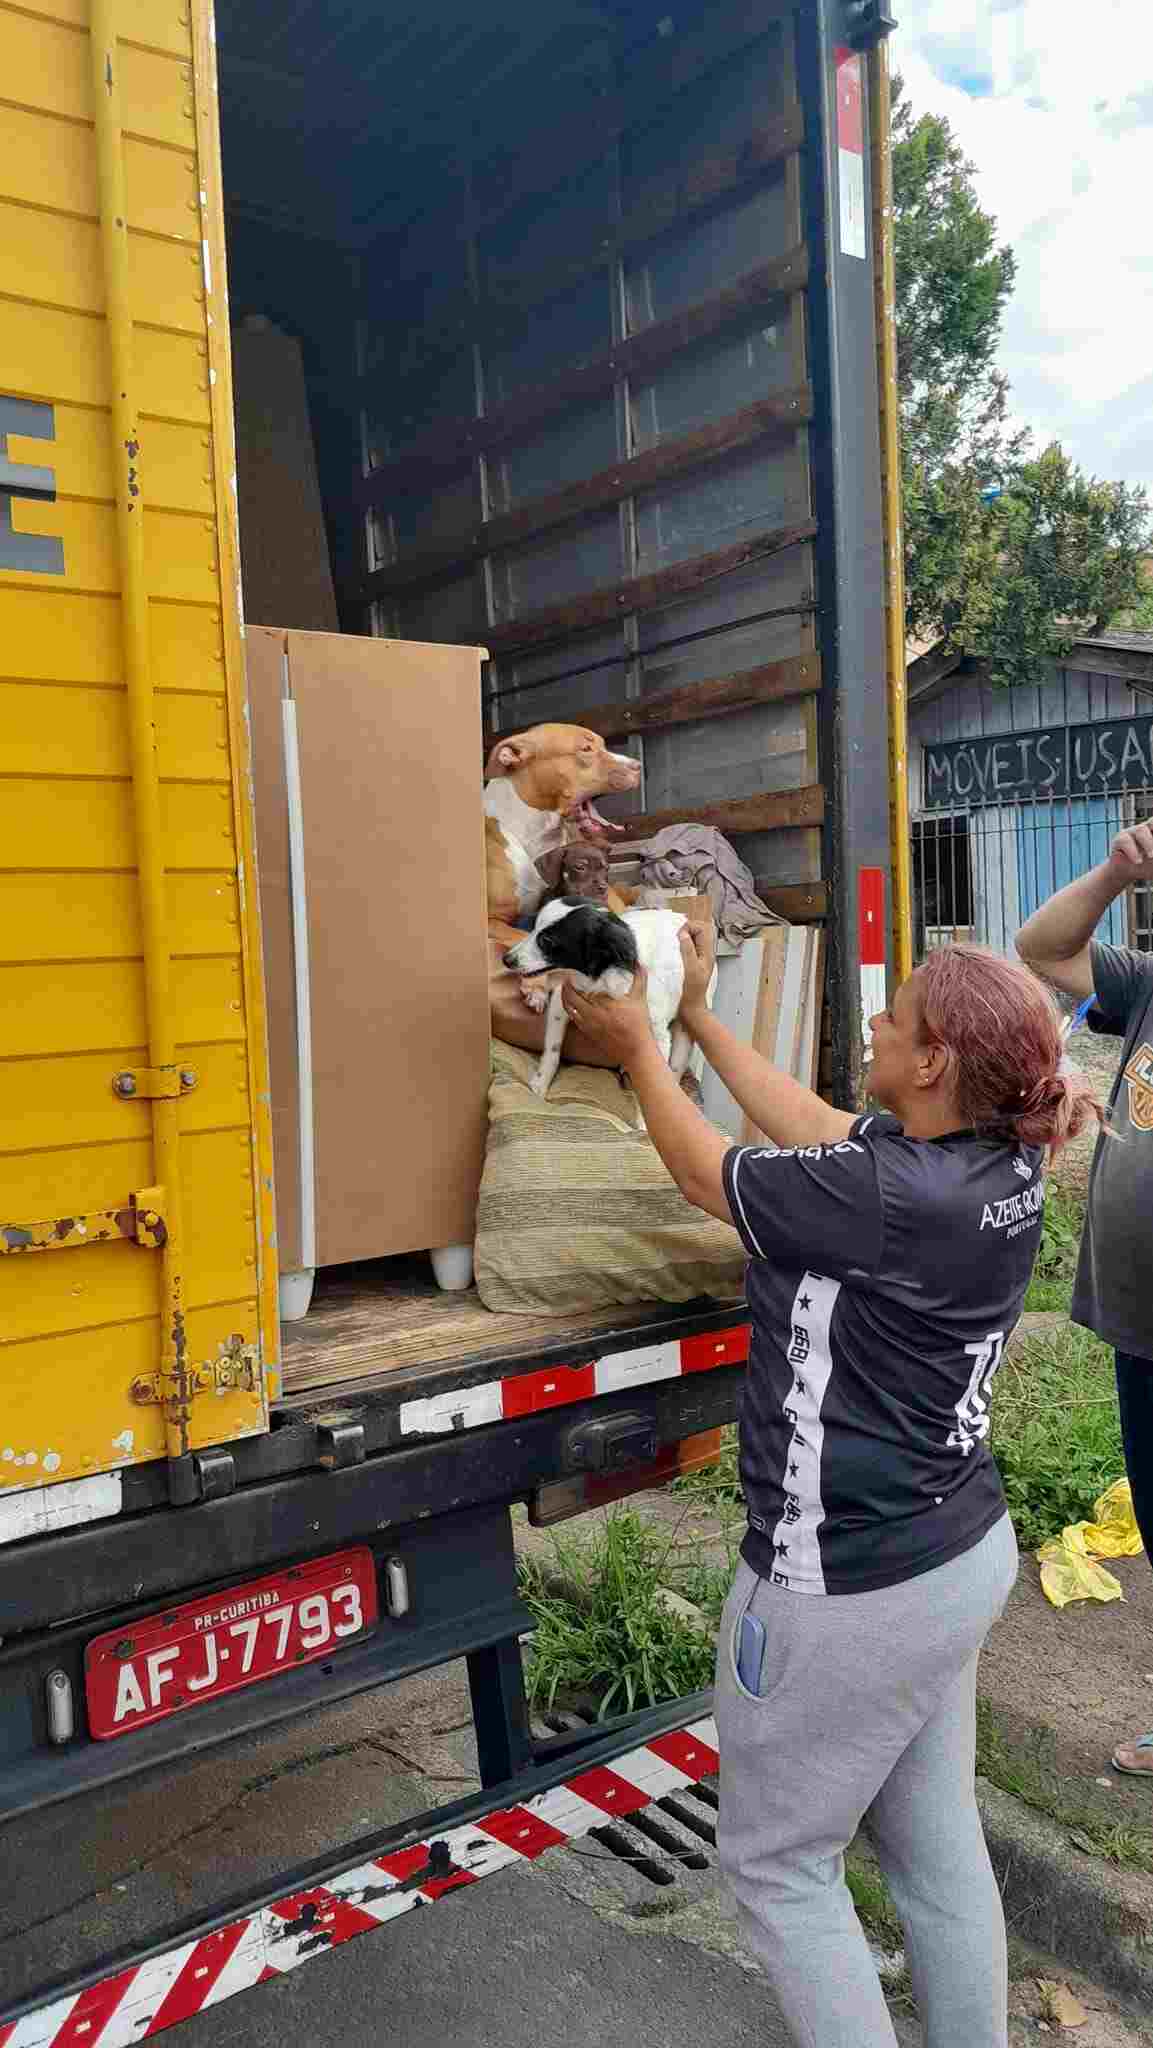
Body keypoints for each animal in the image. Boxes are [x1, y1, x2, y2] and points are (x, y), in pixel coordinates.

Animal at [505, 892, 704, 1089]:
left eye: (547, 941)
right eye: (533, 927)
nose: (505, 960)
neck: (597, 979)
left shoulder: (657, 1037)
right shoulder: (561, 1002)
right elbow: (552, 1050)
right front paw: (540, 1083)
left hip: (684, 1030)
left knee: (675, 1069)